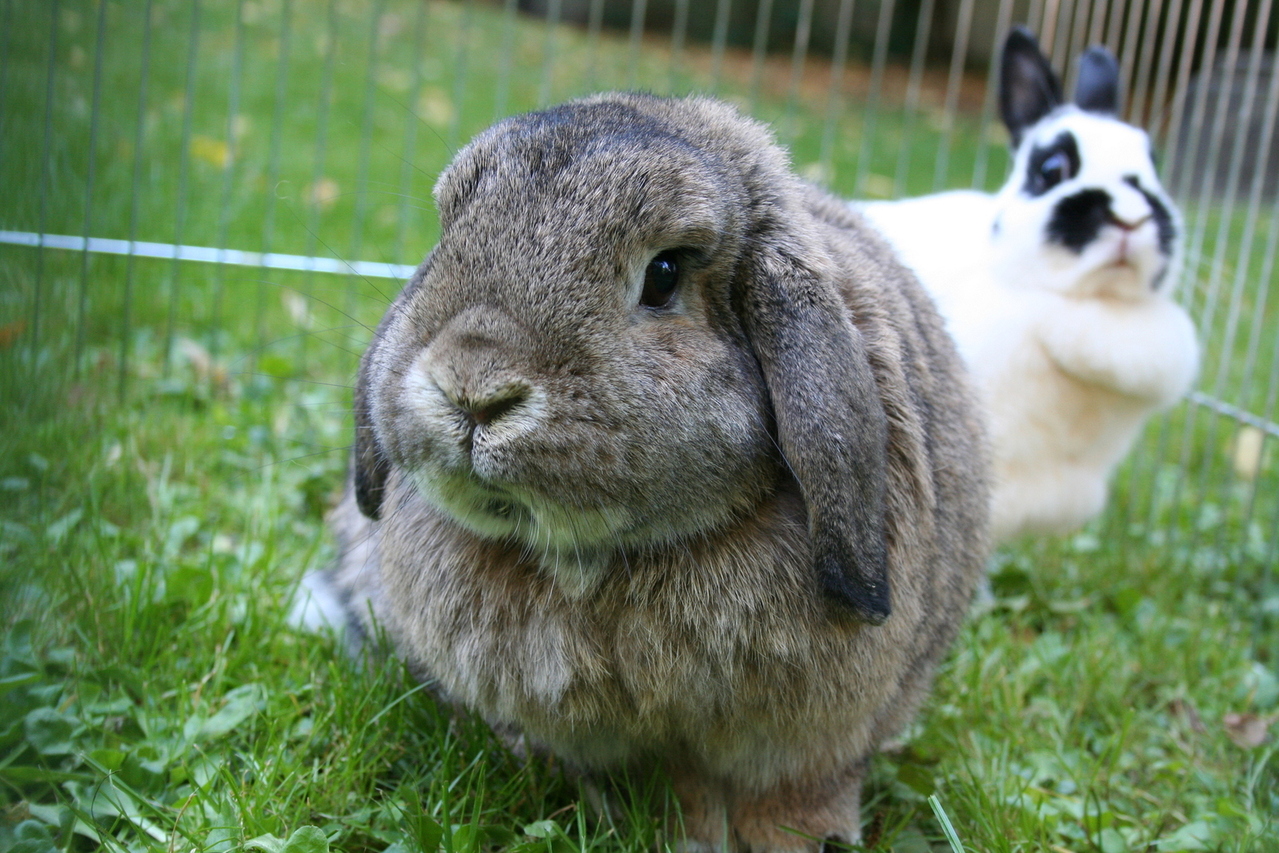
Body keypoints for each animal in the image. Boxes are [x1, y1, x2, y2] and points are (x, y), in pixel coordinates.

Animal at [304, 93, 992, 853]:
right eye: (451, 234)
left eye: (664, 274)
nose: (471, 389)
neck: (600, 558)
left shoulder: (816, 740)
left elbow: (796, 795)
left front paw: (802, 841)